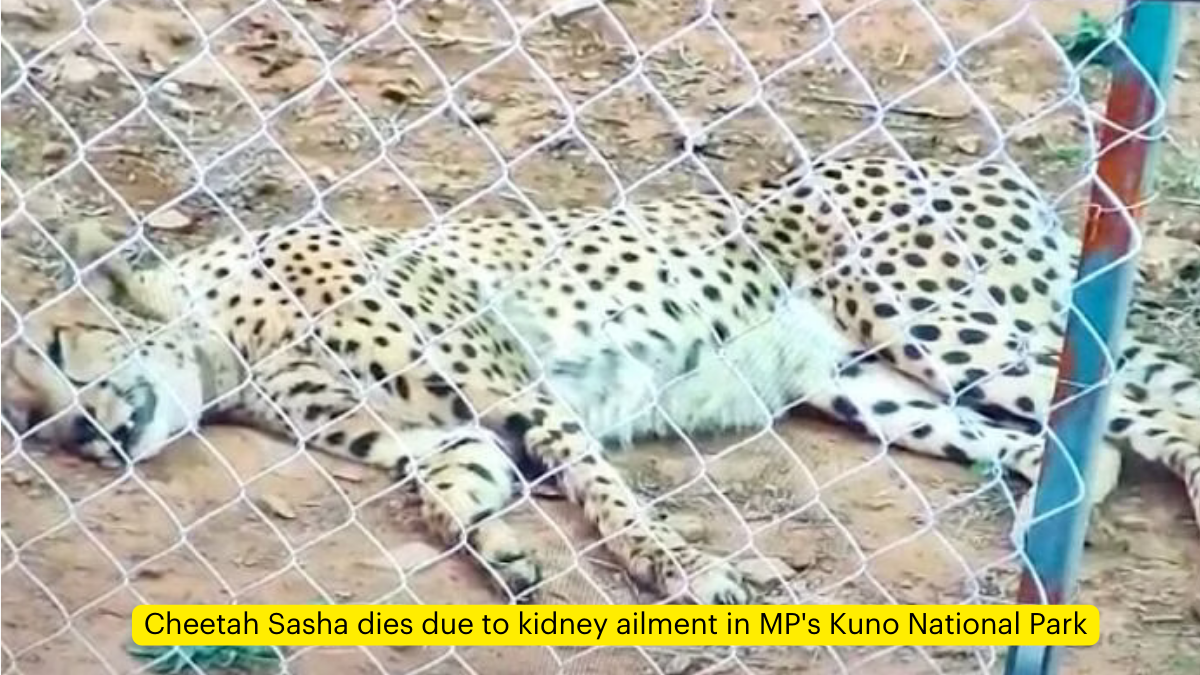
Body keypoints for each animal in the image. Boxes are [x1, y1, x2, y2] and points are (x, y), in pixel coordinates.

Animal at [4, 156, 1198, 606]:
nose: (76, 437)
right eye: (25, 419)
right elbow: (446, 493)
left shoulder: (525, 391)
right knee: (1075, 446)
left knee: (1149, 406)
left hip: (957, 327)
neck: (228, 335)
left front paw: (683, 574)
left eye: (58, 353)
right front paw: (502, 551)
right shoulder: (455, 433)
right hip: (870, 384)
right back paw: (1044, 519)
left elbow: (610, 497)